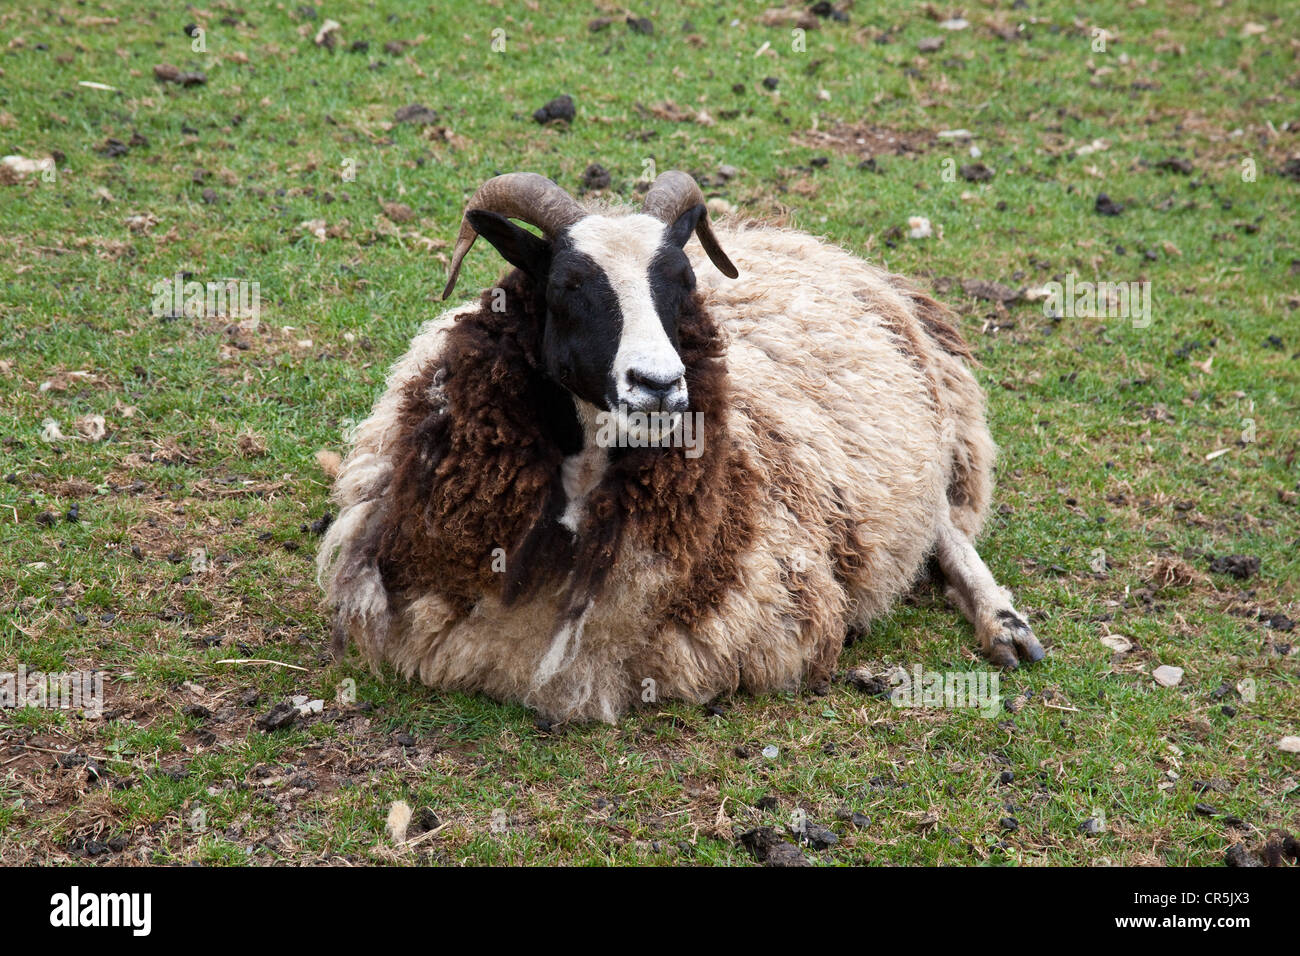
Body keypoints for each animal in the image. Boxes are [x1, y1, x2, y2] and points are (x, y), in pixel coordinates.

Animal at [317, 174, 1045, 723]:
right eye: (567, 284)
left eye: (682, 282)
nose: (659, 385)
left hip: (934, 443)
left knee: (944, 526)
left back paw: (1005, 624)